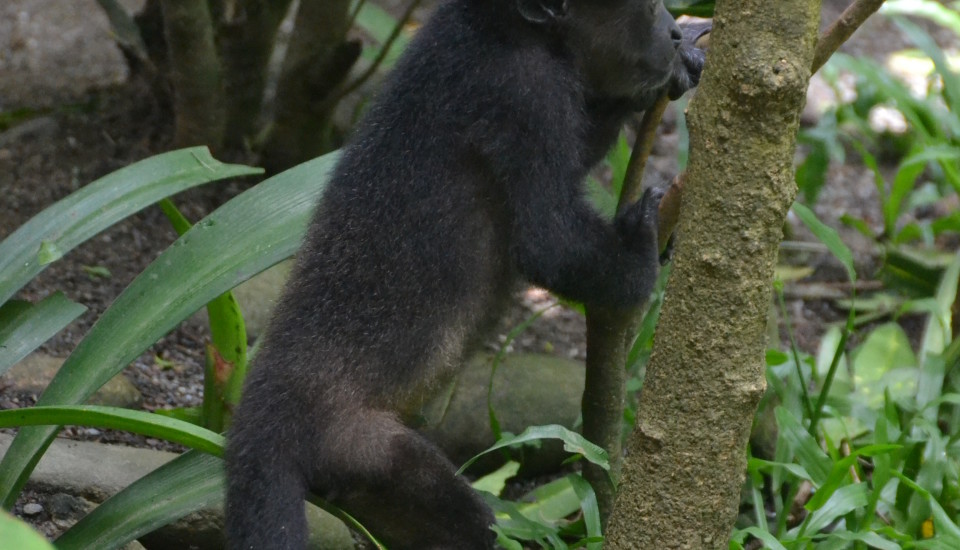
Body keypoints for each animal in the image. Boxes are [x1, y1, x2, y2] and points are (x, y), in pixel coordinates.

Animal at [223, 2, 704, 548]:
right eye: (642, 11)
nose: (672, 30)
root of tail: (256, 418)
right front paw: (643, 248)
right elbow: (550, 241)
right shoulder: (527, 95)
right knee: (457, 512)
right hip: (355, 442)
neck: (506, 32)